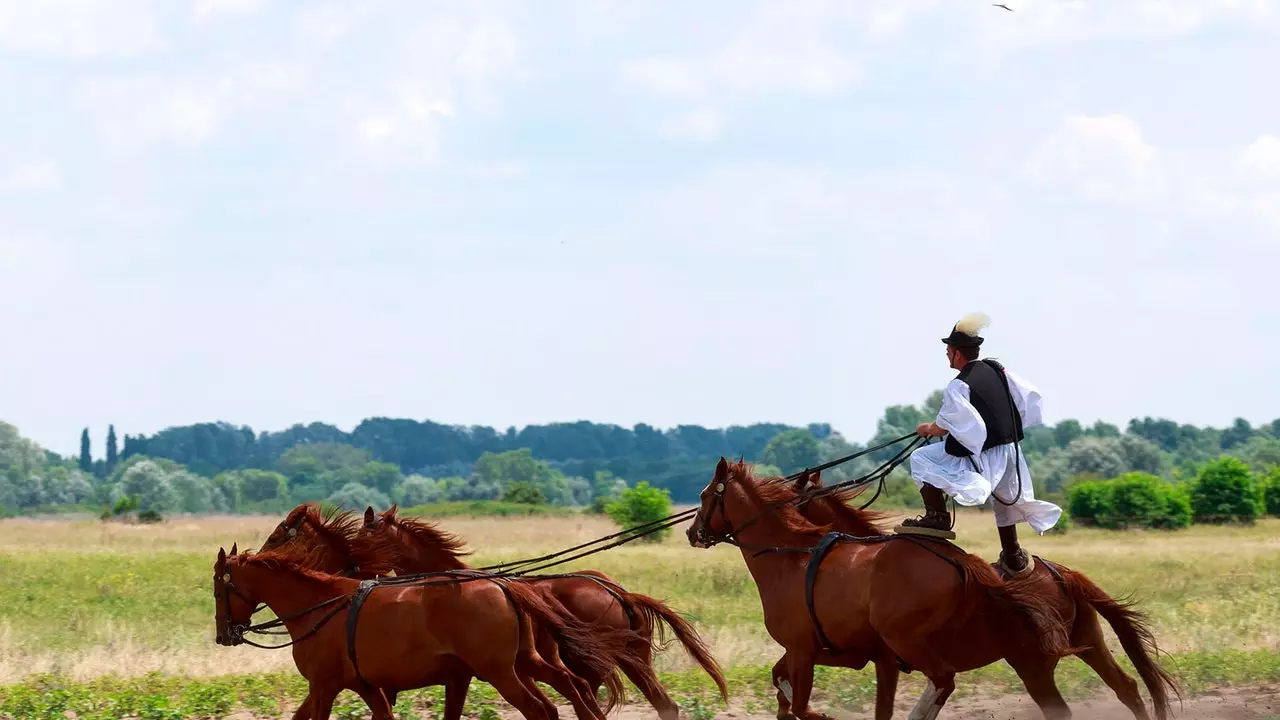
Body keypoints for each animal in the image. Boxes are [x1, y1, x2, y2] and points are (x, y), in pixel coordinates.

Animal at [250, 502, 624, 717]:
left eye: (277, 536)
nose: (261, 553)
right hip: (531, 663)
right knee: (574, 687)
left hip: (515, 667)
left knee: (568, 692)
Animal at [360, 502, 732, 712]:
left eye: (362, 537)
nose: (356, 573)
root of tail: (620, 593)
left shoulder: (485, 672)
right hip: (634, 661)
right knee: (662, 704)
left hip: (595, 667)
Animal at [686, 456, 1085, 717]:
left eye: (705, 495)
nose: (693, 532)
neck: (791, 557)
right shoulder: (854, 656)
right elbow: (784, 687)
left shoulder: (806, 651)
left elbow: (800, 704)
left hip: (916, 641)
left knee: (944, 679)